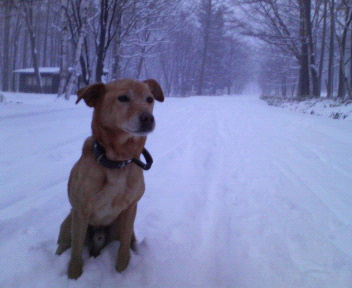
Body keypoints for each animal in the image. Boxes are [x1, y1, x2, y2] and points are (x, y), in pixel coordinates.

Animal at [55, 78, 164, 280]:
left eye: (149, 99)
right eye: (123, 98)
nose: (148, 118)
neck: (117, 161)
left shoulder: (130, 209)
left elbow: (123, 249)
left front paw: (122, 271)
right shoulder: (81, 212)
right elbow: (76, 253)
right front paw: (74, 276)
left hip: (121, 226)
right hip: (68, 224)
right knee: (64, 246)